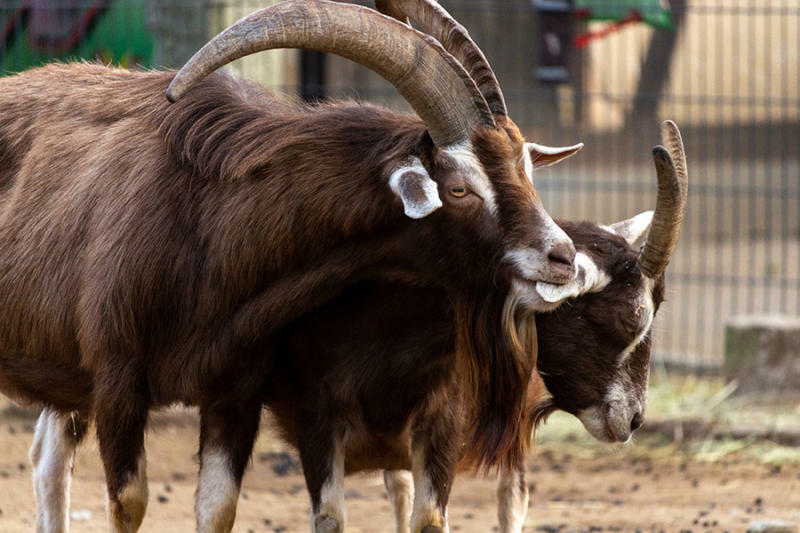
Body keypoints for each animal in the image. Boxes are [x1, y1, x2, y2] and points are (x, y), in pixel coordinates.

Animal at [1, 2, 588, 528]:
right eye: (460, 187)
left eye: (525, 168)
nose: (562, 259)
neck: (205, 214)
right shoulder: (117, 384)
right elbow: (129, 504)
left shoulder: (234, 393)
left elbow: (217, 508)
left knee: (48, 462)